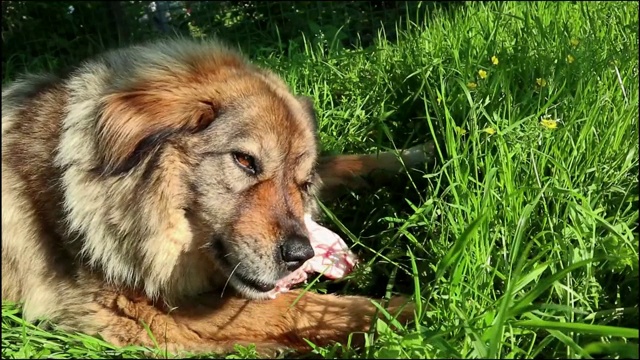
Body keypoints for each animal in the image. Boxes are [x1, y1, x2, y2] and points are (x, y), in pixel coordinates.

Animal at [1, 40, 430, 358]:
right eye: (244, 160)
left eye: (303, 183)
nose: (300, 255)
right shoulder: (141, 314)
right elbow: (302, 307)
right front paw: (416, 309)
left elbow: (350, 162)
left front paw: (419, 155)